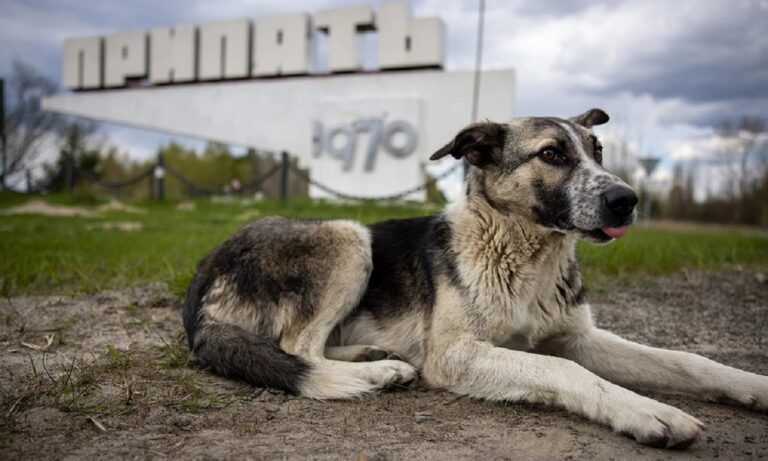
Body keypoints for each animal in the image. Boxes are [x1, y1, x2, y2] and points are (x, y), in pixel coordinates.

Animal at [182, 109, 768, 448]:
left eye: (597, 152)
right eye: (552, 154)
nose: (628, 199)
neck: (529, 255)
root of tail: (204, 268)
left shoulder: (577, 336)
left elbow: (687, 360)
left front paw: (753, 386)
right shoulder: (457, 353)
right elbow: (565, 371)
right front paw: (649, 412)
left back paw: (376, 357)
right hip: (350, 238)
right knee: (295, 347)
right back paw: (375, 373)